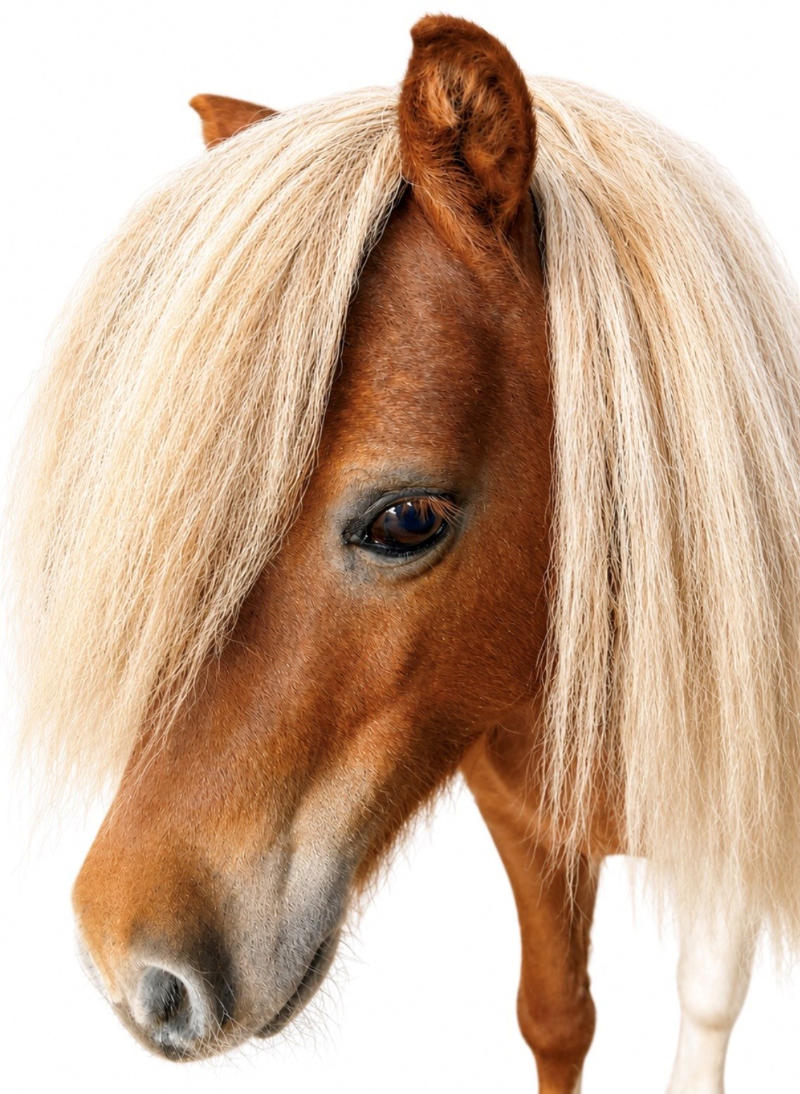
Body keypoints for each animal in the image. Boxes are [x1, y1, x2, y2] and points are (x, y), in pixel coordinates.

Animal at [12, 14, 800, 1093]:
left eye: (407, 521)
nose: (133, 966)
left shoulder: (735, 821)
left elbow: (707, 998)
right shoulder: (525, 820)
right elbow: (556, 1015)